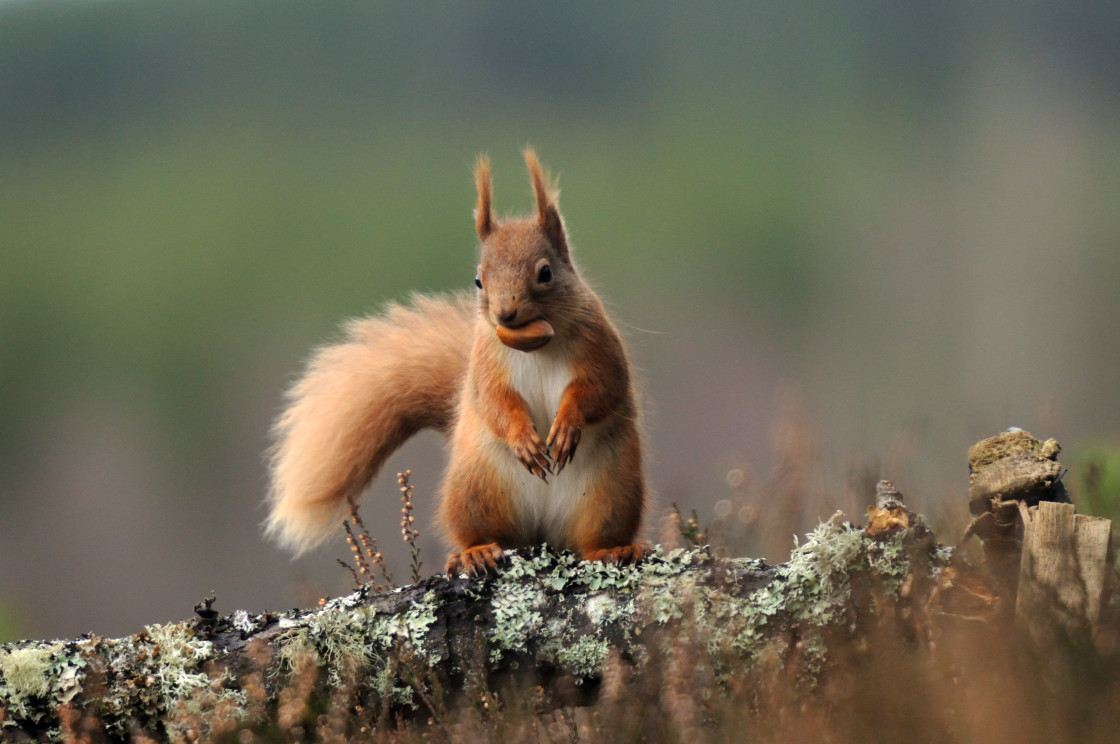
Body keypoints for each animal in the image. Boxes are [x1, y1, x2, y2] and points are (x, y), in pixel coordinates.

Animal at [266, 150, 649, 573]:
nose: (504, 314)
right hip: (475, 491)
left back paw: (613, 550)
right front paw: (523, 439)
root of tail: (542, 531)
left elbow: (600, 389)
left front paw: (566, 426)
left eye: (546, 272)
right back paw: (475, 552)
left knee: (592, 540)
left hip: (610, 494)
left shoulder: (599, 348)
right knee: (480, 532)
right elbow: (494, 401)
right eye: (478, 280)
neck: (535, 347)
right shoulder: (485, 365)